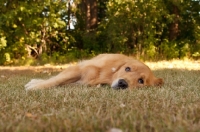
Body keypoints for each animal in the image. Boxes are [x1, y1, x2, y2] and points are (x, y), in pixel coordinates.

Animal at [25, 53, 163, 90]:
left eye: (141, 81)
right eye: (127, 68)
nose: (123, 83)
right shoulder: (78, 70)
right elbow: (55, 80)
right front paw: (36, 87)